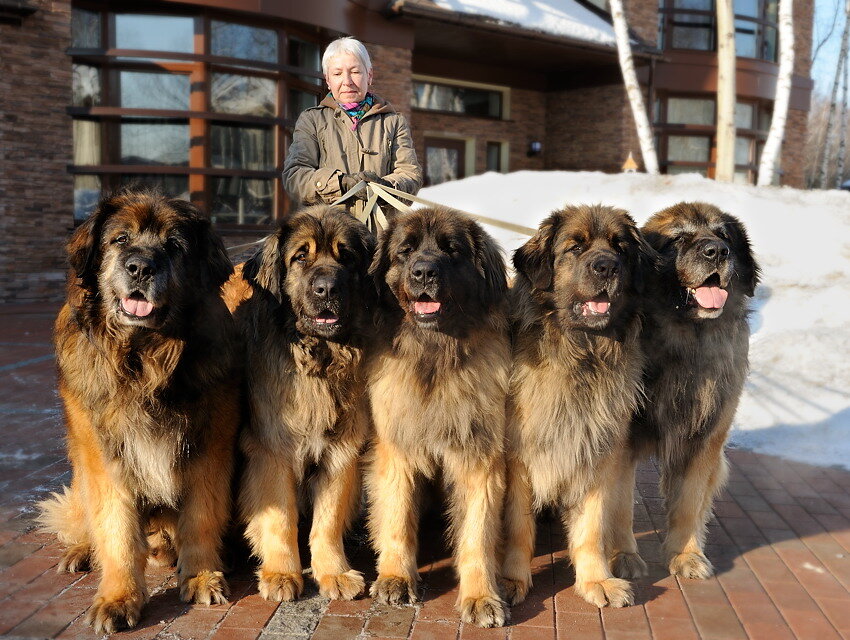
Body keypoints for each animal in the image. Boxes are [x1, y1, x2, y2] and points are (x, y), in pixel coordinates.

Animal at [38, 188, 238, 632]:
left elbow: (201, 515)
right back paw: (81, 552)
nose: (140, 267)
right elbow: (116, 531)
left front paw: (201, 576)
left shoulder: (209, 445)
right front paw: (119, 597)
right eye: (120, 240)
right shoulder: (104, 456)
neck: (143, 360)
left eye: (175, 246)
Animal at [222, 208, 374, 604]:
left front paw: (334, 572)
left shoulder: (339, 451)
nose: (327, 290)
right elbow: (280, 517)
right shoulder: (272, 451)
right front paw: (281, 573)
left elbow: (328, 519)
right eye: (300, 257)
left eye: (346, 257)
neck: (317, 361)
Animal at [366, 208, 510, 628]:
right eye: (406, 250)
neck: (435, 356)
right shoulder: (397, 450)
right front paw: (396, 577)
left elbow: (477, 533)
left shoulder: (480, 457)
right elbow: (397, 515)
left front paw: (481, 596)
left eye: (452, 250)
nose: (424, 272)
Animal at [500, 205, 652, 608]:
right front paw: (510, 579)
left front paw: (597, 579)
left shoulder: (597, 451)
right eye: (575, 247)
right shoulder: (519, 458)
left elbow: (592, 527)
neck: (583, 355)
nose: (606, 267)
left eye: (620, 248)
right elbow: (518, 526)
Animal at [608, 204, 760, 580]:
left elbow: (689, 502)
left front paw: (686, 554)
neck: (688, 341)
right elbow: (618, 505)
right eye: (678, 238)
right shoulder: (620, 440)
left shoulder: (705, 439)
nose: (717, 252)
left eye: (724, 235)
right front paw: (623, 556)